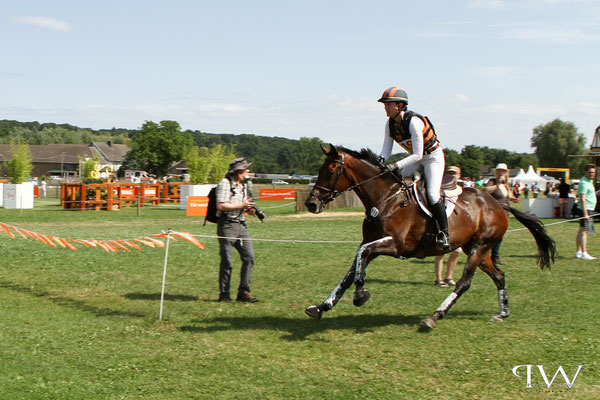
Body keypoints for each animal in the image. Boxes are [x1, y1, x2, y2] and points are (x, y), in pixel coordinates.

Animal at [304, 144, 556, 328]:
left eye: (331, 171)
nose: (311, 203)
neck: (386, 199)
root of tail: (499, 204)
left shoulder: (394, 245)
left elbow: (360, 257)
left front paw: (360, 295)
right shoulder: (372, 243)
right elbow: (352, 269)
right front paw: (322, 307)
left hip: (479, 247)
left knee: (464, 283)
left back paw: (435, 316)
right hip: (477, 249)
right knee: (499, 276)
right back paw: (502, 314)